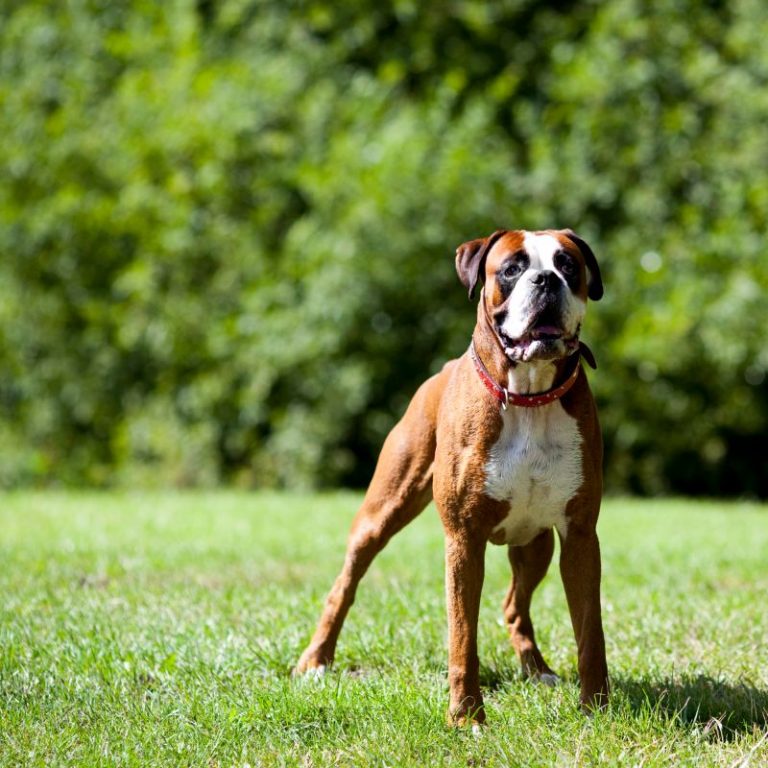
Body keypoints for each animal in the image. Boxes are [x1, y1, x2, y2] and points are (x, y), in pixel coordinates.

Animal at [296, 230, 608, 728]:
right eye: (512, 269)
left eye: (568, 265)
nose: (546, 279)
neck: (529, 398)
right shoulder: (464, 540)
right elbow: (463, 635)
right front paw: (466, 718)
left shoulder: (579, 537)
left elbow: (590, 632)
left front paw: (596, 707)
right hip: (381, 515)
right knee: (343, 588)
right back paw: (315, 661)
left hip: (535, 545)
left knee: (514, 607)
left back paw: (537, 670)